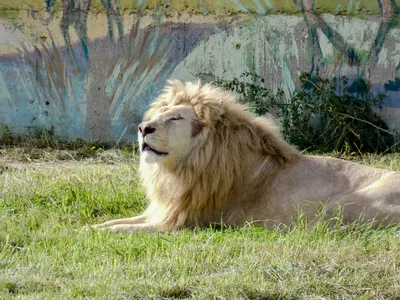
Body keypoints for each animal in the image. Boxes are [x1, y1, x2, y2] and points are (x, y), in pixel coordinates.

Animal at [96, 80, 400, 232]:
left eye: (175, 118)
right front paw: (90, 229)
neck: (180, 170)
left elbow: (123, 230)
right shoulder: (164, 210)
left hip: (337, 206)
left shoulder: (187, 223)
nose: (143, 128)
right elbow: (116, 222)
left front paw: (100, 235)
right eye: (159, 114)